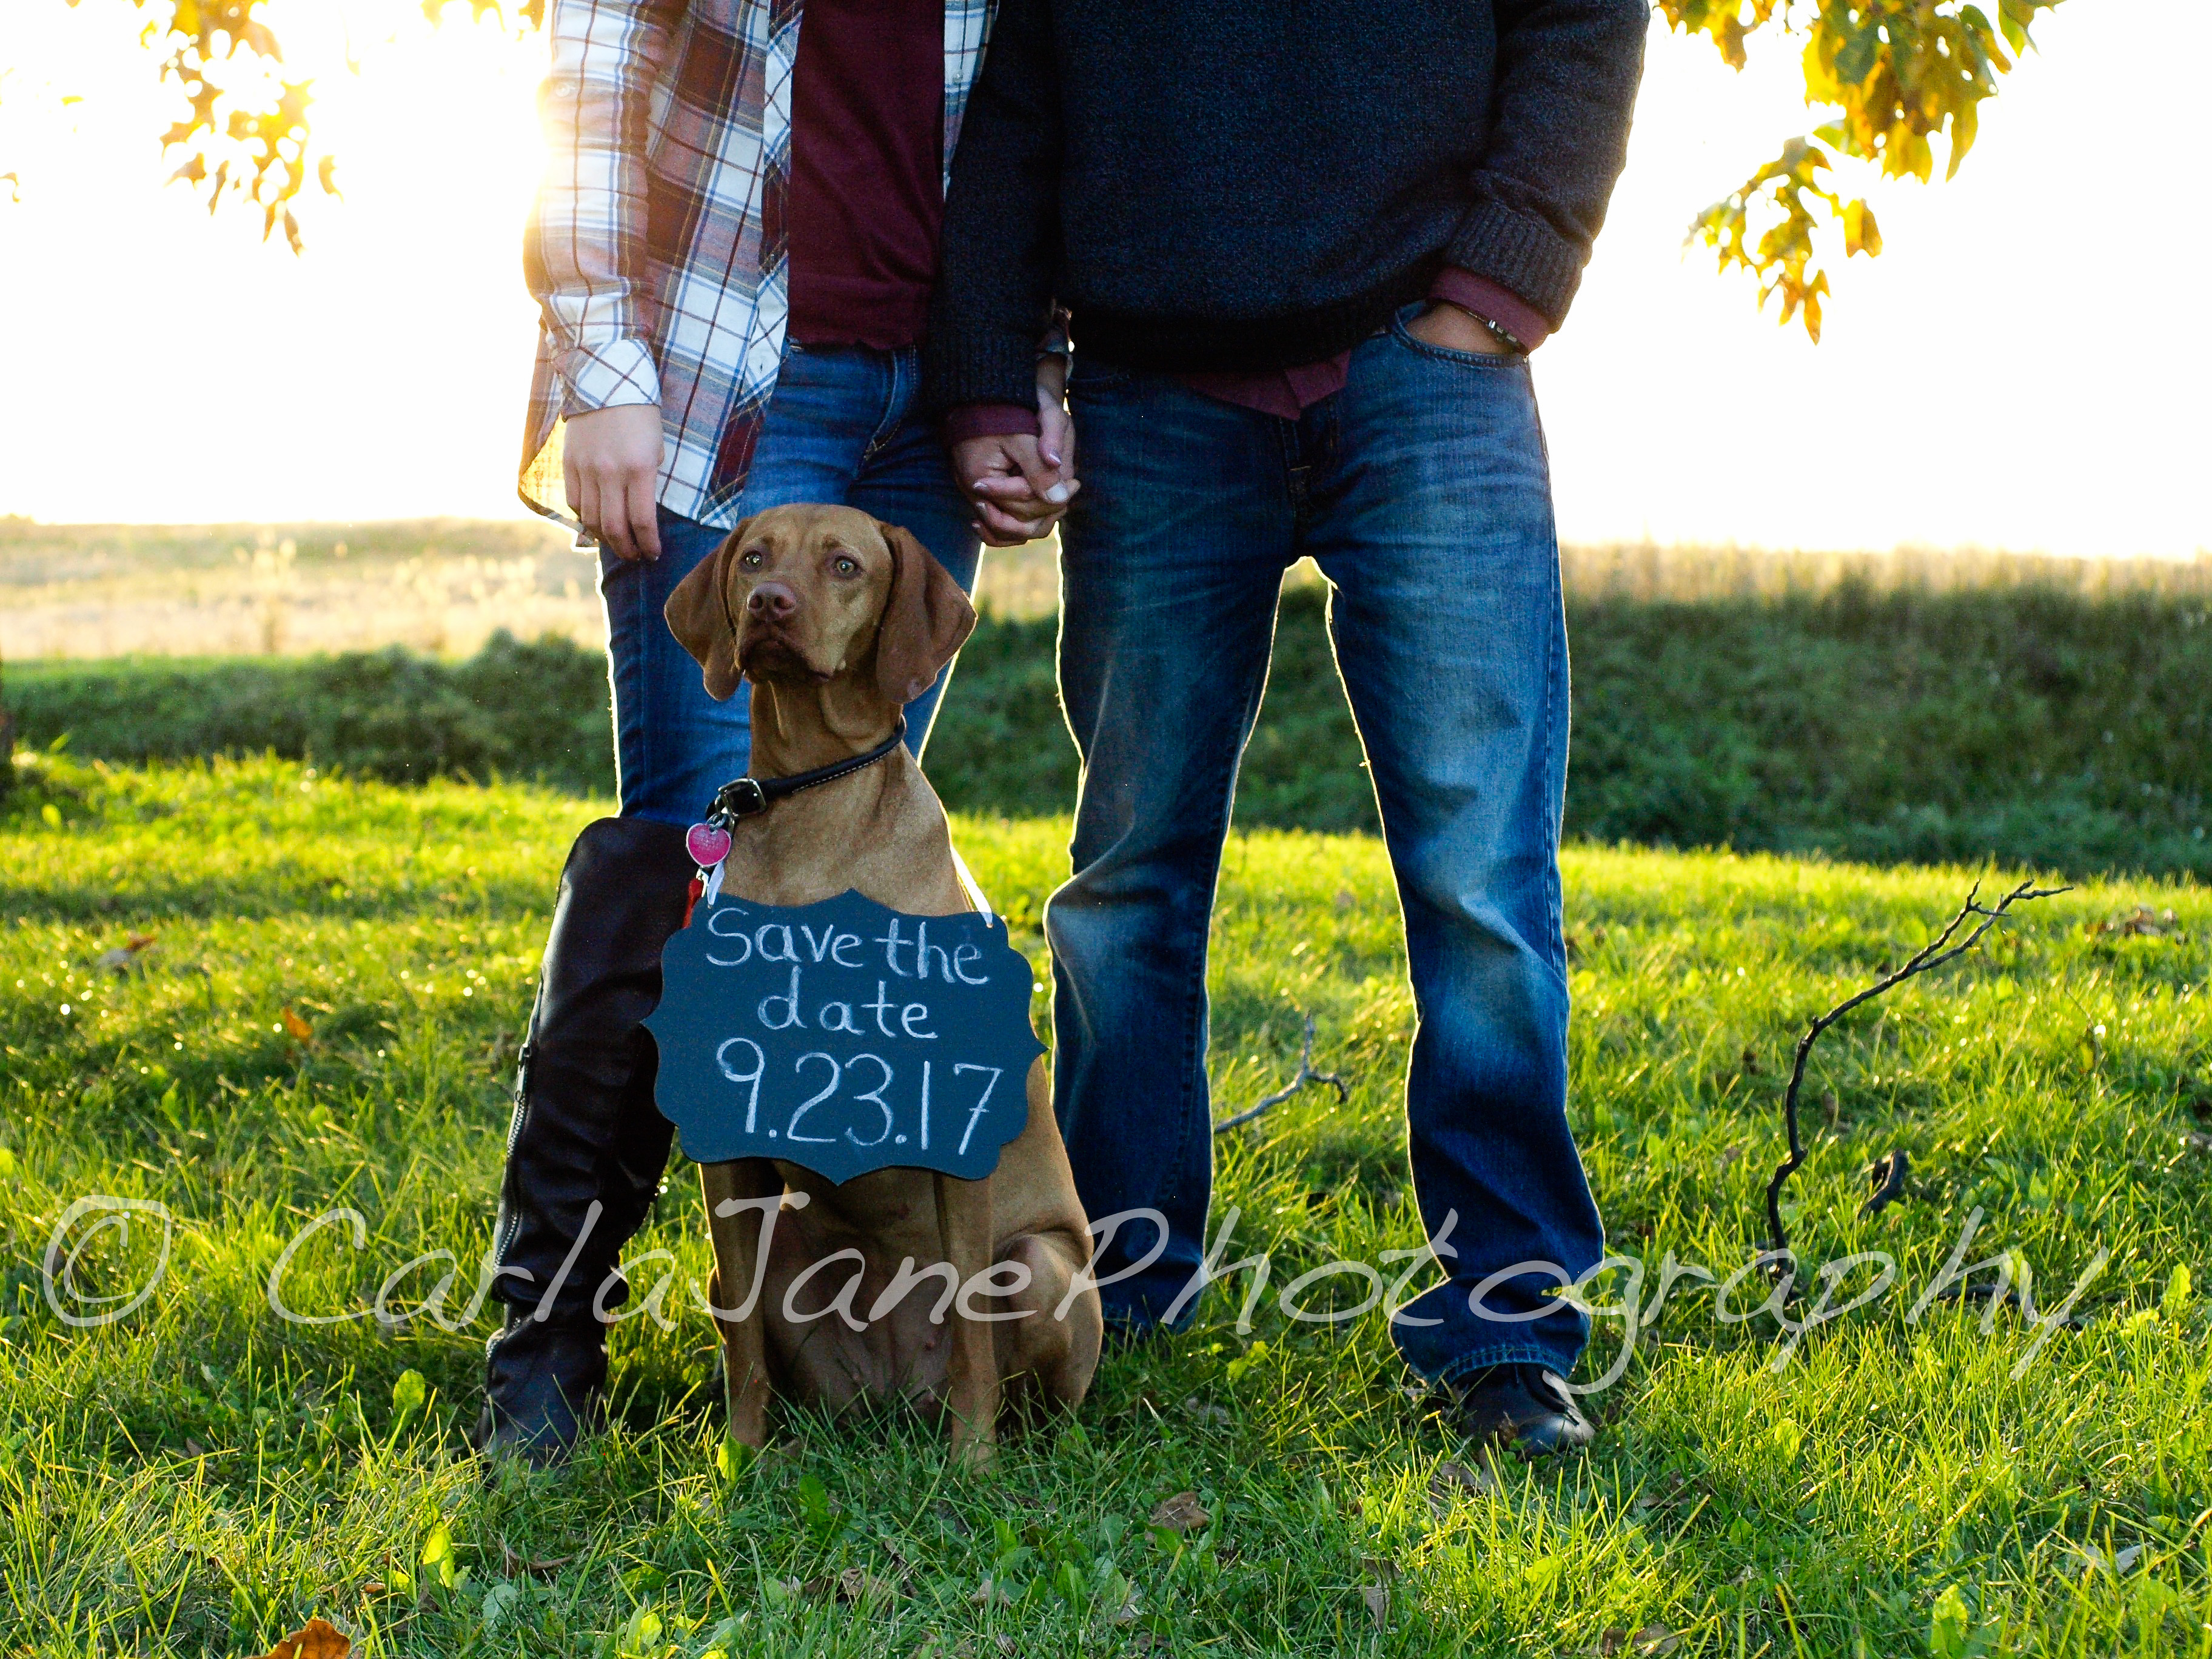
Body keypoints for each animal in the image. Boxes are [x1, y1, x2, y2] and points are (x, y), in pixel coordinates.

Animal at [663, 503, 1102, 1462]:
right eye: (752, 558)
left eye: (845, 565)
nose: (771, 604)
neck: (814, 809)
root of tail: (901, 1400)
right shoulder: (727, 1139)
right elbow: (743, 1342)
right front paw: (738, 1460)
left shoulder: (956, 1131)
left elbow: (973, 1329)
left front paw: (974, 1469)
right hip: (778, 1265)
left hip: (1040, 1267)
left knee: (1025, 1384)